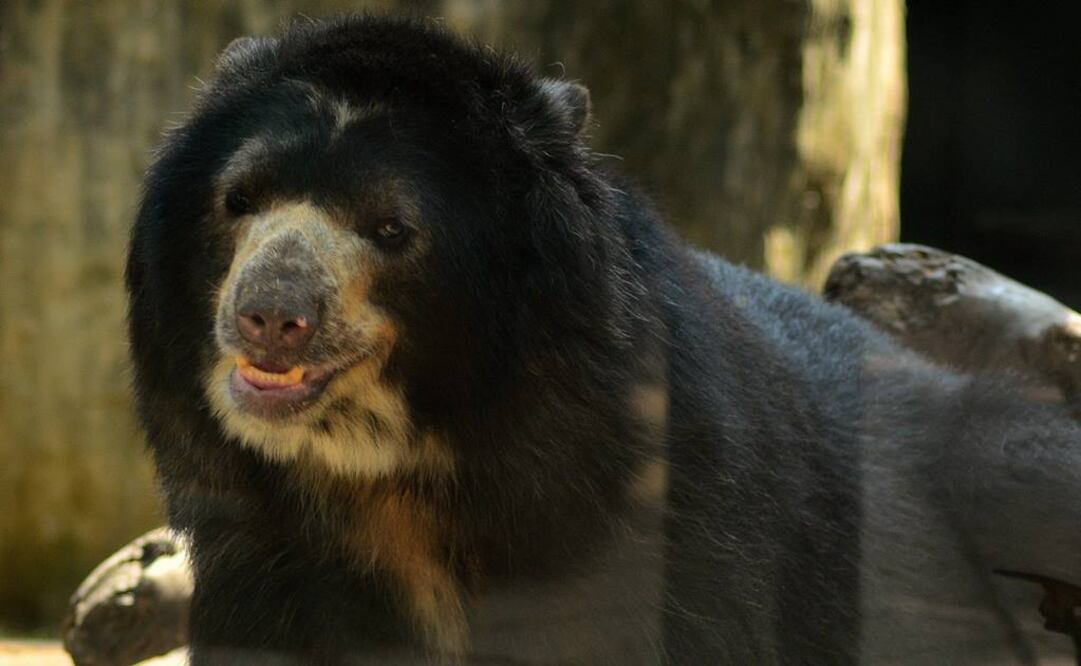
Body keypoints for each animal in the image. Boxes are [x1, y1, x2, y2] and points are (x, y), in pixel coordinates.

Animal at [125, 14, 1081, 665]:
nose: (270, 314)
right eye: (240, 199)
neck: (390, 471)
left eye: (390, 228)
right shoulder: (266, 555)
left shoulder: (656, 522)